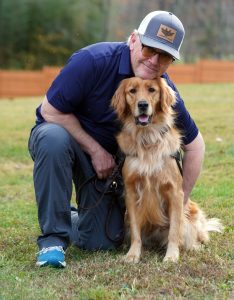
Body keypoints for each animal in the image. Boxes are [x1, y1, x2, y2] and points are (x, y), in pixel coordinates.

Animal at [111, 77, 223, 262]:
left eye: (152, 90)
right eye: (132, 91)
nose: (143, 105)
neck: (147, 138)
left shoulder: (175, 191)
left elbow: (174, 230)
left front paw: (171, 256)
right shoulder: (131, 191)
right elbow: (135, 230)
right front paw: (133, 254)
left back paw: (194, 246)